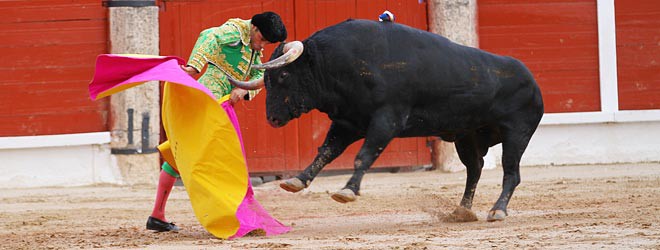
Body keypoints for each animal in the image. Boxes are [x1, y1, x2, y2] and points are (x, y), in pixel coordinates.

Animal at [229, 19, 544, 222]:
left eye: (283, 75)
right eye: (267, 80)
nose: (272, 118)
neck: (336, 64)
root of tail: (533, 81)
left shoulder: (386, 120)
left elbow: (364, 155)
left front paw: (347, 191)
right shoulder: (347, 122)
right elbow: (326, 152)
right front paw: (297, 180)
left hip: (516, 134)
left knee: (511, 173)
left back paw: (497, 211)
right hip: (467, 136)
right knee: (474, 169)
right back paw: (462, 211)